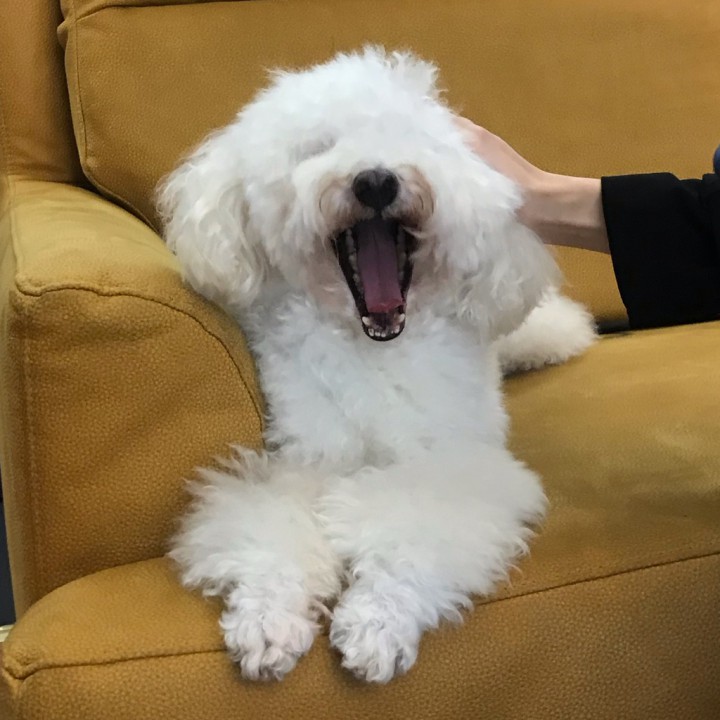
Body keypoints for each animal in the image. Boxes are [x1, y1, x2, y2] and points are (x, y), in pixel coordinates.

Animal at [158, 47, 595, 684]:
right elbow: (276, 527)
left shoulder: (453, 467)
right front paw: (268, 620)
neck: (376, 348)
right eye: (318, 147)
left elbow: (410, 532)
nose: (375, 180)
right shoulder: (303, 460)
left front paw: (376, 624)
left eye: (411, 139)